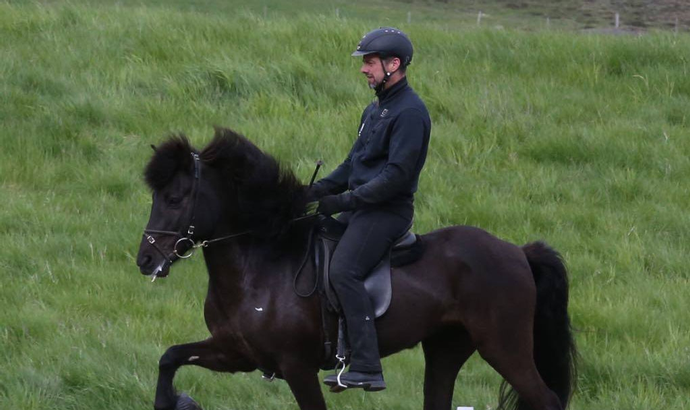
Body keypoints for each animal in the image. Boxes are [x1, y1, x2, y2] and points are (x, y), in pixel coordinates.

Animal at [134, 128, 576, 410]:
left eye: (174, 198)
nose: (145, 261)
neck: (259, 266)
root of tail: (516, 251)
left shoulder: (297, 366)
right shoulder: (235, 352)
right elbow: (169, 358)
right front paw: (176, 401)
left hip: (504, 347)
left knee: (547, 401)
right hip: (446, 347)